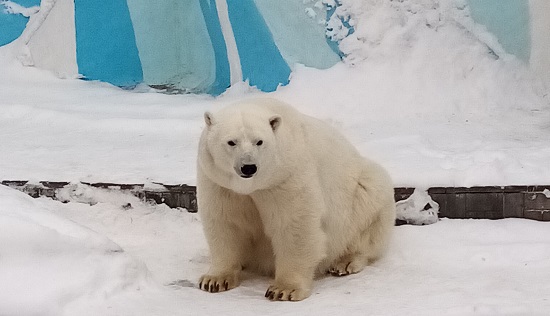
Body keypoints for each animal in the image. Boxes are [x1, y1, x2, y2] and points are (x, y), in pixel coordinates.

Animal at [198, 97, 396, 300]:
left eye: (259, 142)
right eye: (231, 142)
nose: (249, 167)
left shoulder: (286, 175)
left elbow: (294, 224)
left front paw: (283, 289)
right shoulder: (219, 183)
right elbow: (225, 222)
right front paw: (215, 280)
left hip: (361, 194)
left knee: (369, 208)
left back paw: (345, 262)